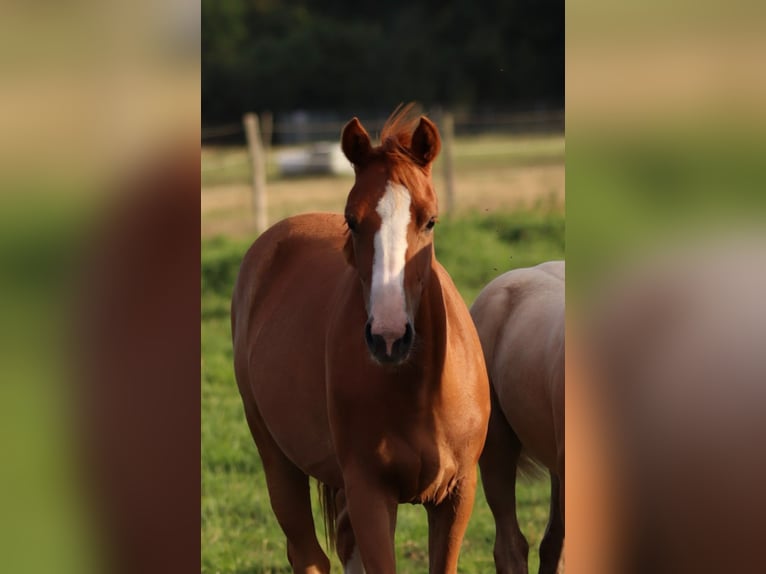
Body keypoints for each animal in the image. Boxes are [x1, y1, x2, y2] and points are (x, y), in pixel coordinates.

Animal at [231, 105, 490, 574]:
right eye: (352, 220)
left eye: (430, 220)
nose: (389, 337)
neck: (419, 391)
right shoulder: (370, 494)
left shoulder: (457, 493)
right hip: (278, 461)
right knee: (308, 555)